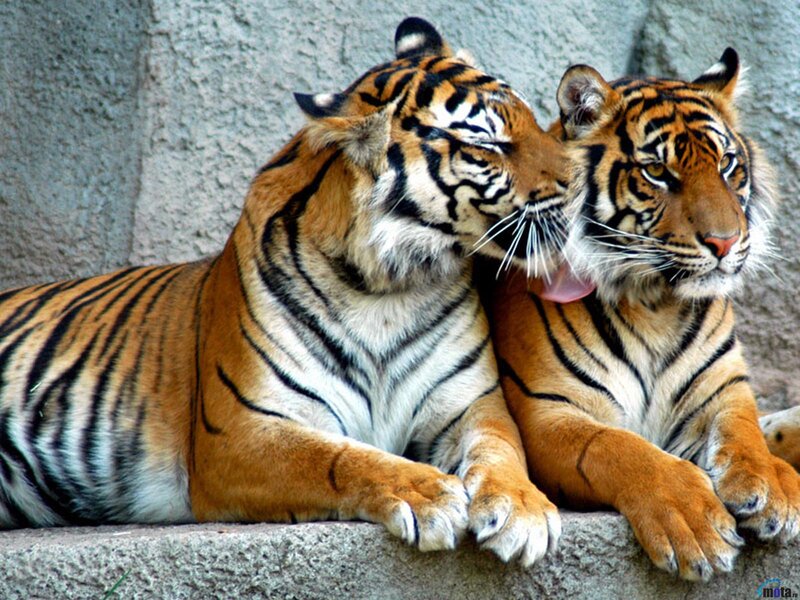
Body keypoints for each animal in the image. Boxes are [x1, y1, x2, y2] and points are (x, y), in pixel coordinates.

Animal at [0, 18, 570, 566]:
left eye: (531, 116)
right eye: (488, 144)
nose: (578, 180)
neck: (388, 286)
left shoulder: (473, 405)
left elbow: (502, 452)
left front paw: (522, 510)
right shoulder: (240, 432)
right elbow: (337, 458)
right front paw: (430, 494)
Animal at [487, 48, 800, 580]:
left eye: (728, 165)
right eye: (657, 172)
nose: (725, 243)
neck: (658, 305)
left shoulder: (723, 388)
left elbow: (744, 430)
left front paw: (769, 486)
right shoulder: (546, 411)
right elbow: (621, 449)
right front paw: (694, 523)